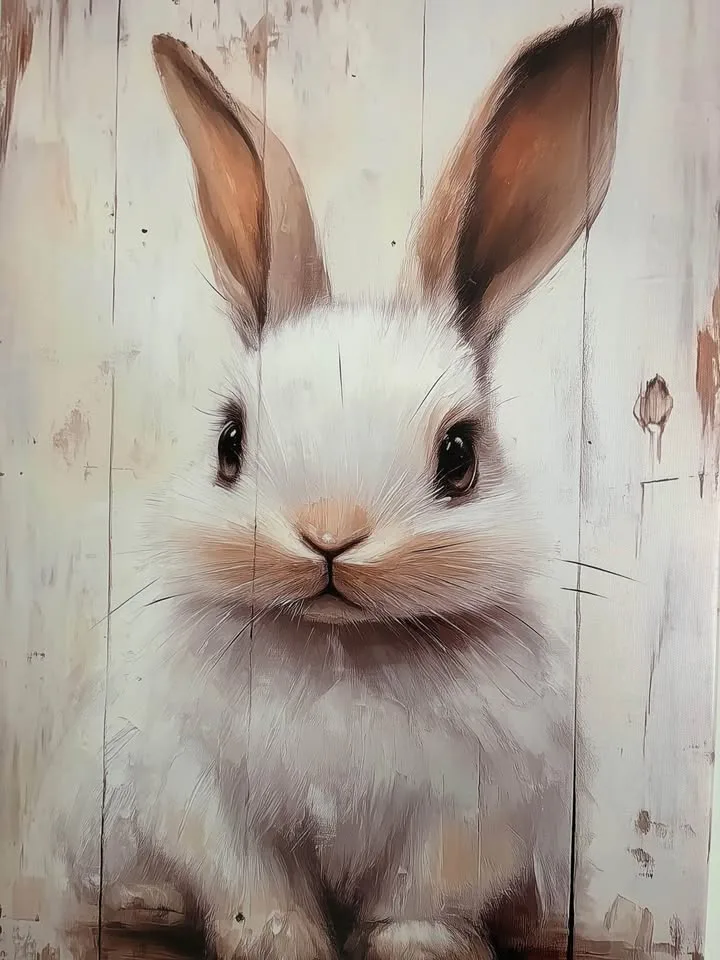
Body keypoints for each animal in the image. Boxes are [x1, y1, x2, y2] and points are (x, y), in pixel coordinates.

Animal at [19, 8, 621, 960]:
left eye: (460, 455)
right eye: (229, 443)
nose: (330, 536)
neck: (342, 646)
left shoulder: (471, 813)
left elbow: (420, 895)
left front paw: (424, 948)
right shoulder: (200, 796)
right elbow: (250, 887)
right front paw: (278, 943)